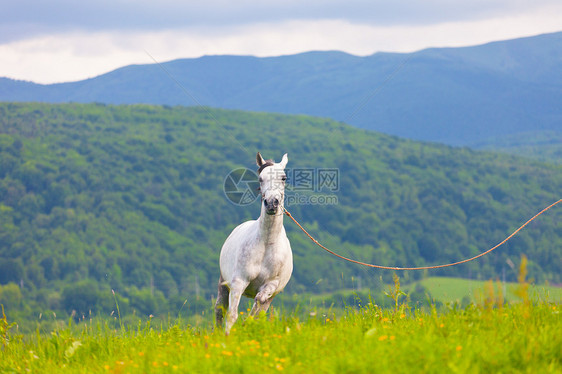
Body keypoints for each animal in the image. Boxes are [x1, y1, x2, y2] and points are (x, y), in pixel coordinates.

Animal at [214, 153, 294, 334]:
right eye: (260, 178)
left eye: (284, 178)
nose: (271, 203)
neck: (266, 243)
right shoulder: (238, 282)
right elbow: (232, 315)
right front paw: (227, 337)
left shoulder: (271, 285)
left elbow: (259, 301)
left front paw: (247, 323)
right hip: (223, 284)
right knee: (219, 311)